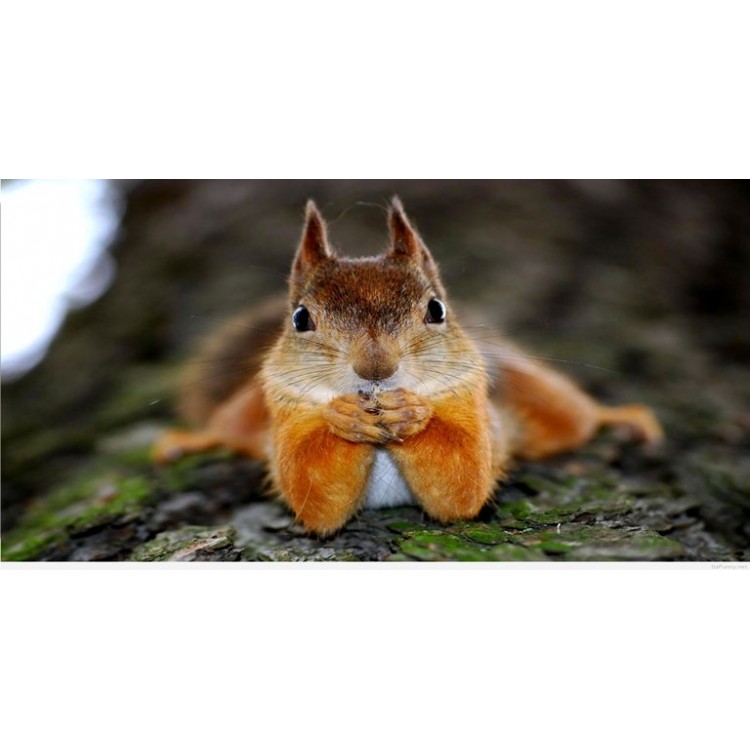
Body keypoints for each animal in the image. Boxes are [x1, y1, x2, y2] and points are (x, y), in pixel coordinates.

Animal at [153, 197, 663, 536]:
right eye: (300, 318)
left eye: (436, 309)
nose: (375, 368)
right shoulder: (286, 413)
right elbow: (312, 492)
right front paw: (343, 417)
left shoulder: (473, 407)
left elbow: (463, 480)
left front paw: (412, 414)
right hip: (246, 413)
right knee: (227, 429)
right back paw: (188, 441)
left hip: (538, 397)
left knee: (576, 417)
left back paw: (623, 417)